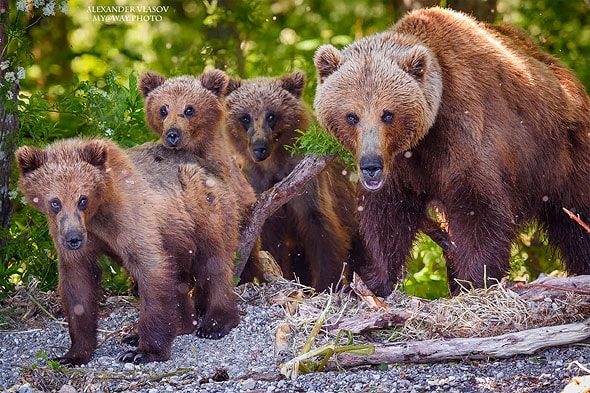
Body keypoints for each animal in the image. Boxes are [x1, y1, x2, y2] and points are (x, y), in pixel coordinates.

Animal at [17, 139, 242, 364]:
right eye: (55, 202)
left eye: (82, 199)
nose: (74, 239)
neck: (98, 214)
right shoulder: (71, 238)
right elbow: (78, 284)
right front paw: (72, 354)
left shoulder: (129, 220)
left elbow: (151, 271)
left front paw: (144, 352)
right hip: (175, 235)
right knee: (178, 276)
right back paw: (159, 329)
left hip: (203, 208)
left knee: (213, 261)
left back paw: (215, 323)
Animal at [223, 72, 358, 290]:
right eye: (245, 117)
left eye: (271, 115)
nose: (259, 148)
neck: (273, 165)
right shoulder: (259, 187)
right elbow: (272, 242)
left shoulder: (305, 184)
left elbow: (321, 231)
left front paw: (325, 282)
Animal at [316, 7, 590, 296]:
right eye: (351, 116)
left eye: (388, 114)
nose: (371, 165)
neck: (424, 139)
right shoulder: (400, 166)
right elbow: (386, 217)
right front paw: (371, 280)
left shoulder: (464, 133)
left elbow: (477, 209)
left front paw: (473, 279)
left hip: (561, 152)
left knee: (576, 216)